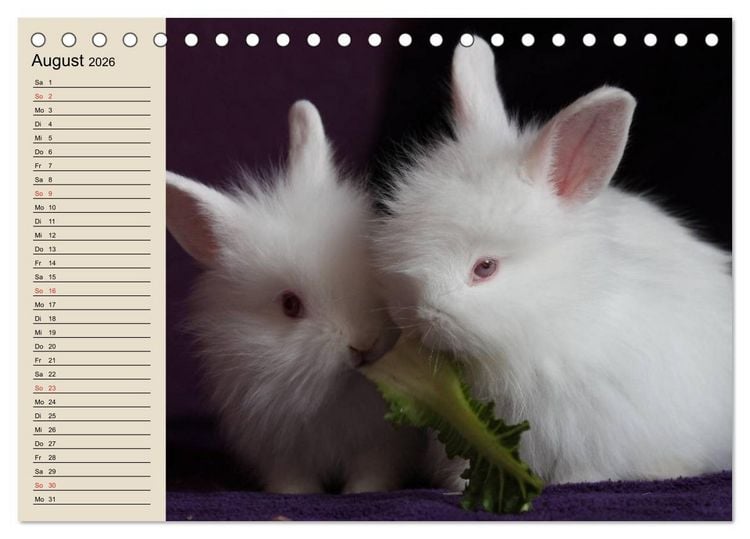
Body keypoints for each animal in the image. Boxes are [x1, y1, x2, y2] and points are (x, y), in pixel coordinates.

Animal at [166, 100, 426, 494]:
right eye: (290, 305)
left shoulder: (382, 446)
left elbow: (371, 474)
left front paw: (362, 492)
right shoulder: (279, 449)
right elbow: (292, 480)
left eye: (373, 272)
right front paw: (298, 493)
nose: (363, 344)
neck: (333, 396)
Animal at [372, 37, 732, 486]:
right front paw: (456, 488)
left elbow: (588, 466)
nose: (420, 317)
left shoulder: (594, 427)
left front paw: (578, 482)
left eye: (485, 268)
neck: (553, 315)